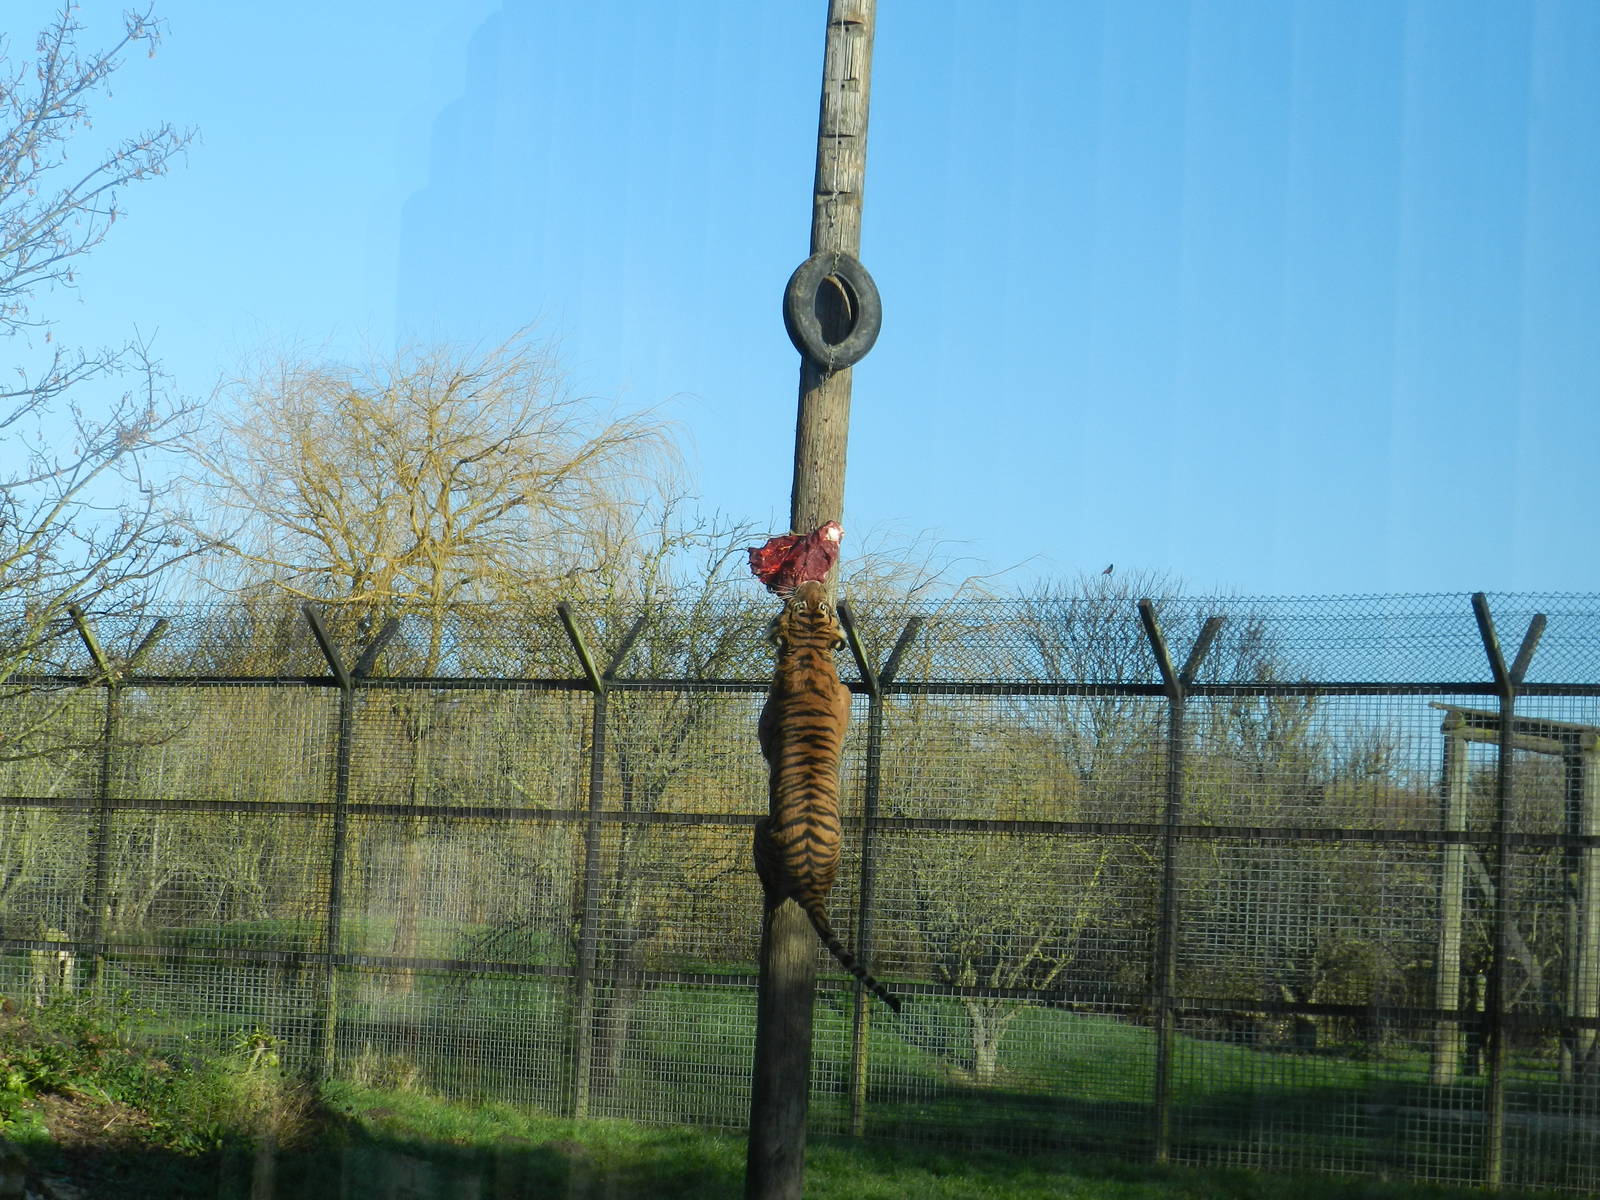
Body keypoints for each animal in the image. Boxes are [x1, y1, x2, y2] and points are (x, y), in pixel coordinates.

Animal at [753, 579, 902, 1012]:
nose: (814, 583)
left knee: (772, 891)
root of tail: (810, 878)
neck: (808, 648)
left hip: (761, 826)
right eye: (812, 605)